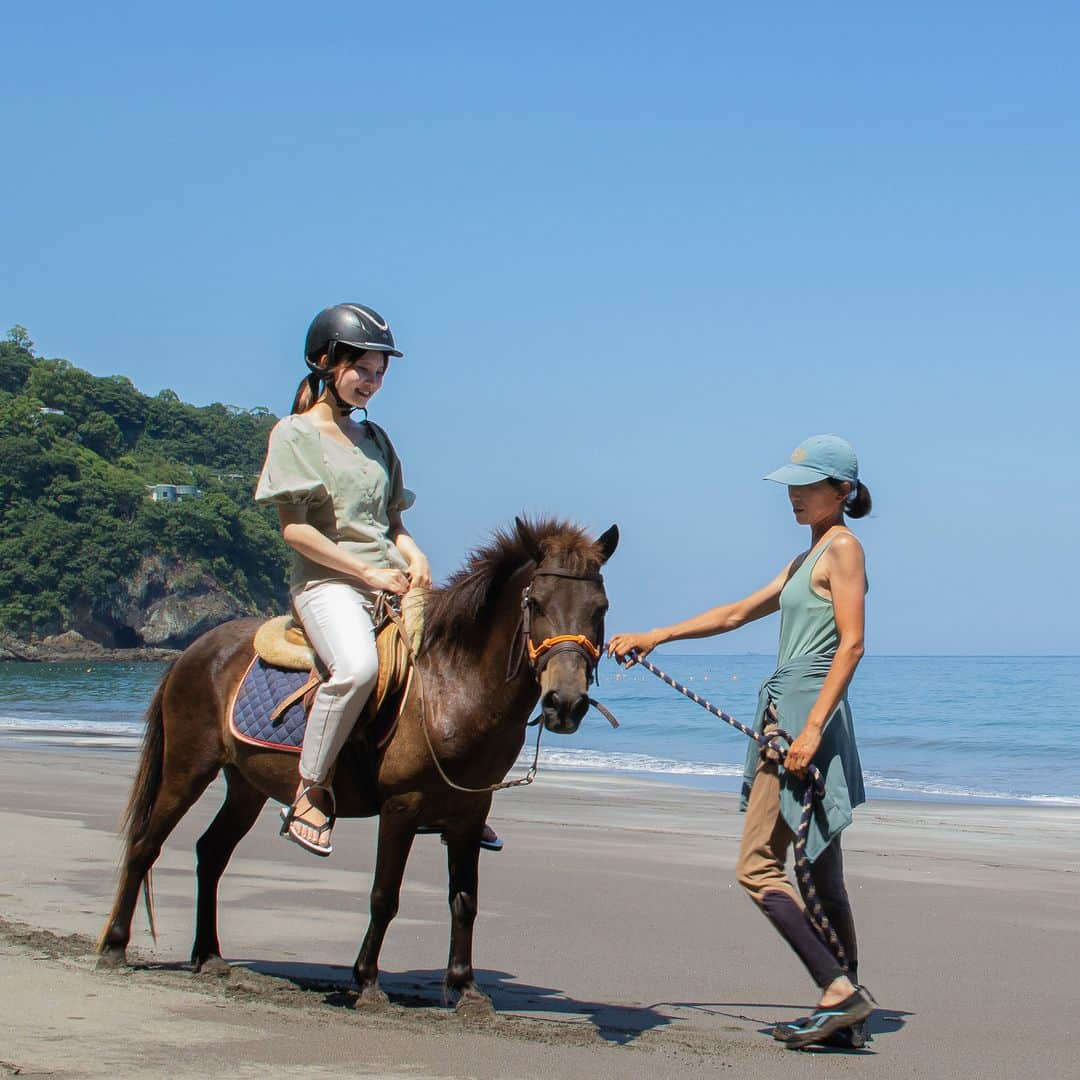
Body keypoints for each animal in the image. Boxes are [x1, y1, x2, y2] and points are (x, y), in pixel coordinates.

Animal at [97, 518, 622, 1006]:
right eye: (537, 604)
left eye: (600, 609)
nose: (565, 704)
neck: (451, 685)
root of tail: (192, 650)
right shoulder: (401, 807)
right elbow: (384, 895)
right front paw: (367, 981)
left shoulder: (471, 814)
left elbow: (465, 899)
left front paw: (465, 988)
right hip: (187, 768)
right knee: (145, 845)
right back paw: (115, 947)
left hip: (246, 785)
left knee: (211, 853)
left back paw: (208, 955)